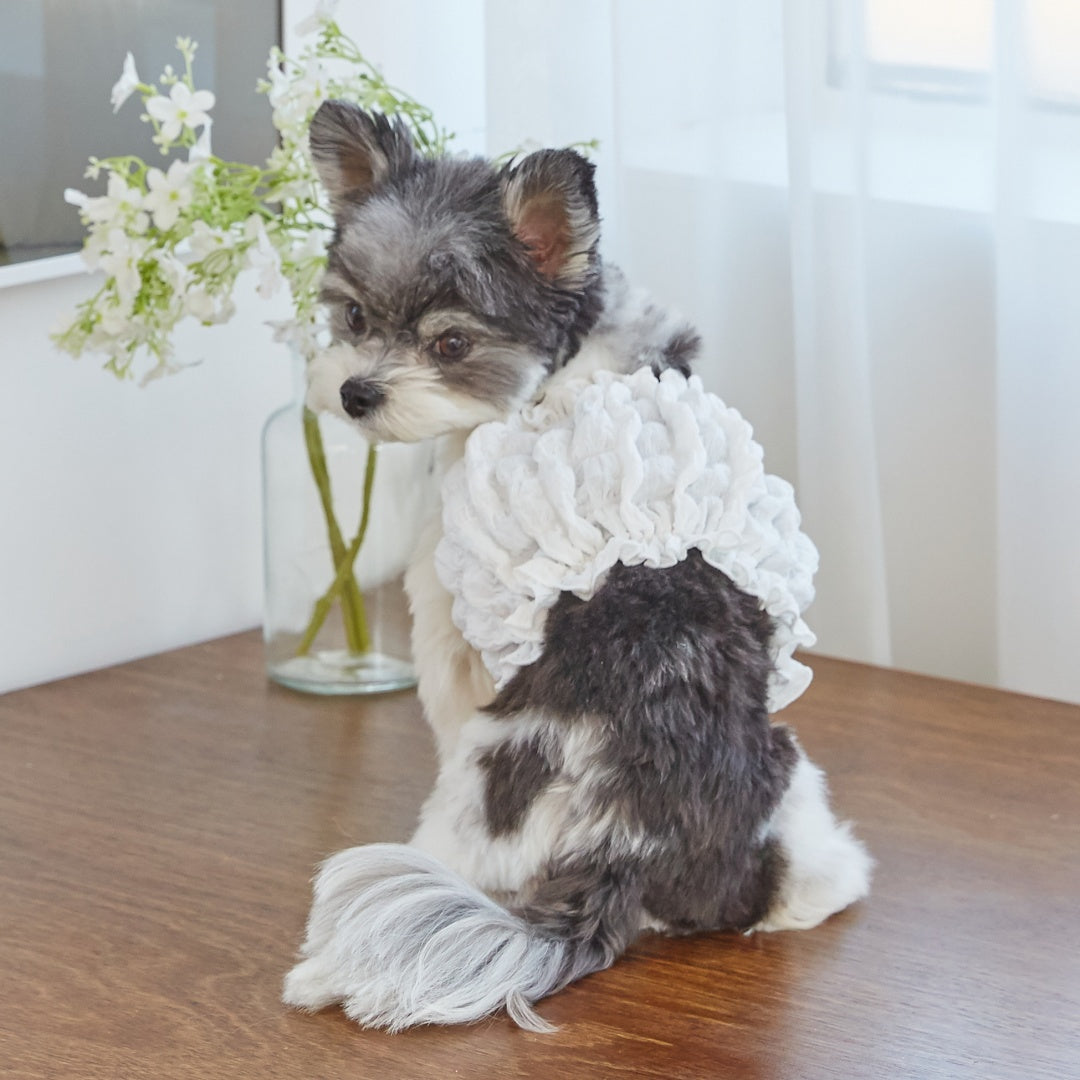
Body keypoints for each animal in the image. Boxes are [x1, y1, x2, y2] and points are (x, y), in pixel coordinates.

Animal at [282, 103, 872, 1036]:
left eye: (451, 342)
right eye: (355, 318)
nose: (355, 392)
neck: (562, 369)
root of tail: (627, 835)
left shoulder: (448, 610)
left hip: (475, 789)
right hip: (789, 767)